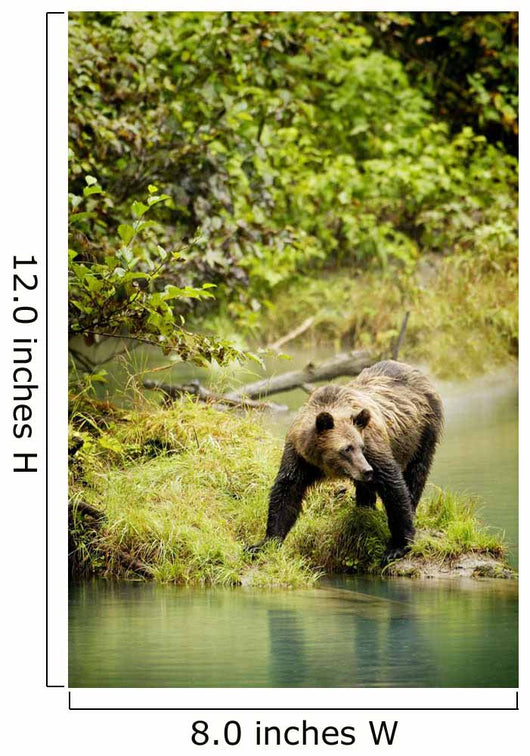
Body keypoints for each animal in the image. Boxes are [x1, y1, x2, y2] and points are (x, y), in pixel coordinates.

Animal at [250, 360, 443, 563]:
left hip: (423, 431)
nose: (367, 470)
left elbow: (392, 485)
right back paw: (365, 508)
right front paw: (264, 543)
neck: (322, 462)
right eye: (346, 448)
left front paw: (397, 545)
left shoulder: (373, 446)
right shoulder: (299, 456)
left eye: (361, 446)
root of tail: (414, 370)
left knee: (416, 471)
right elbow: (287, 491)